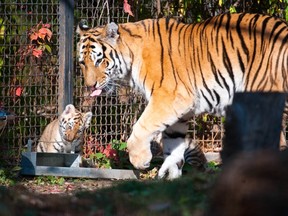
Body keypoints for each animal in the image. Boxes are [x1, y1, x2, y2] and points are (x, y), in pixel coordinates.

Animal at [76, 13, 288, 179]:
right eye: (82, 63)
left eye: (99, 60)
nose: (89, 86)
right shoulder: (180, 112)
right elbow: (173, 143)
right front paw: (170, 176)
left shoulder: (169, 97)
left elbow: (141, 127)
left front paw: (140, 160)